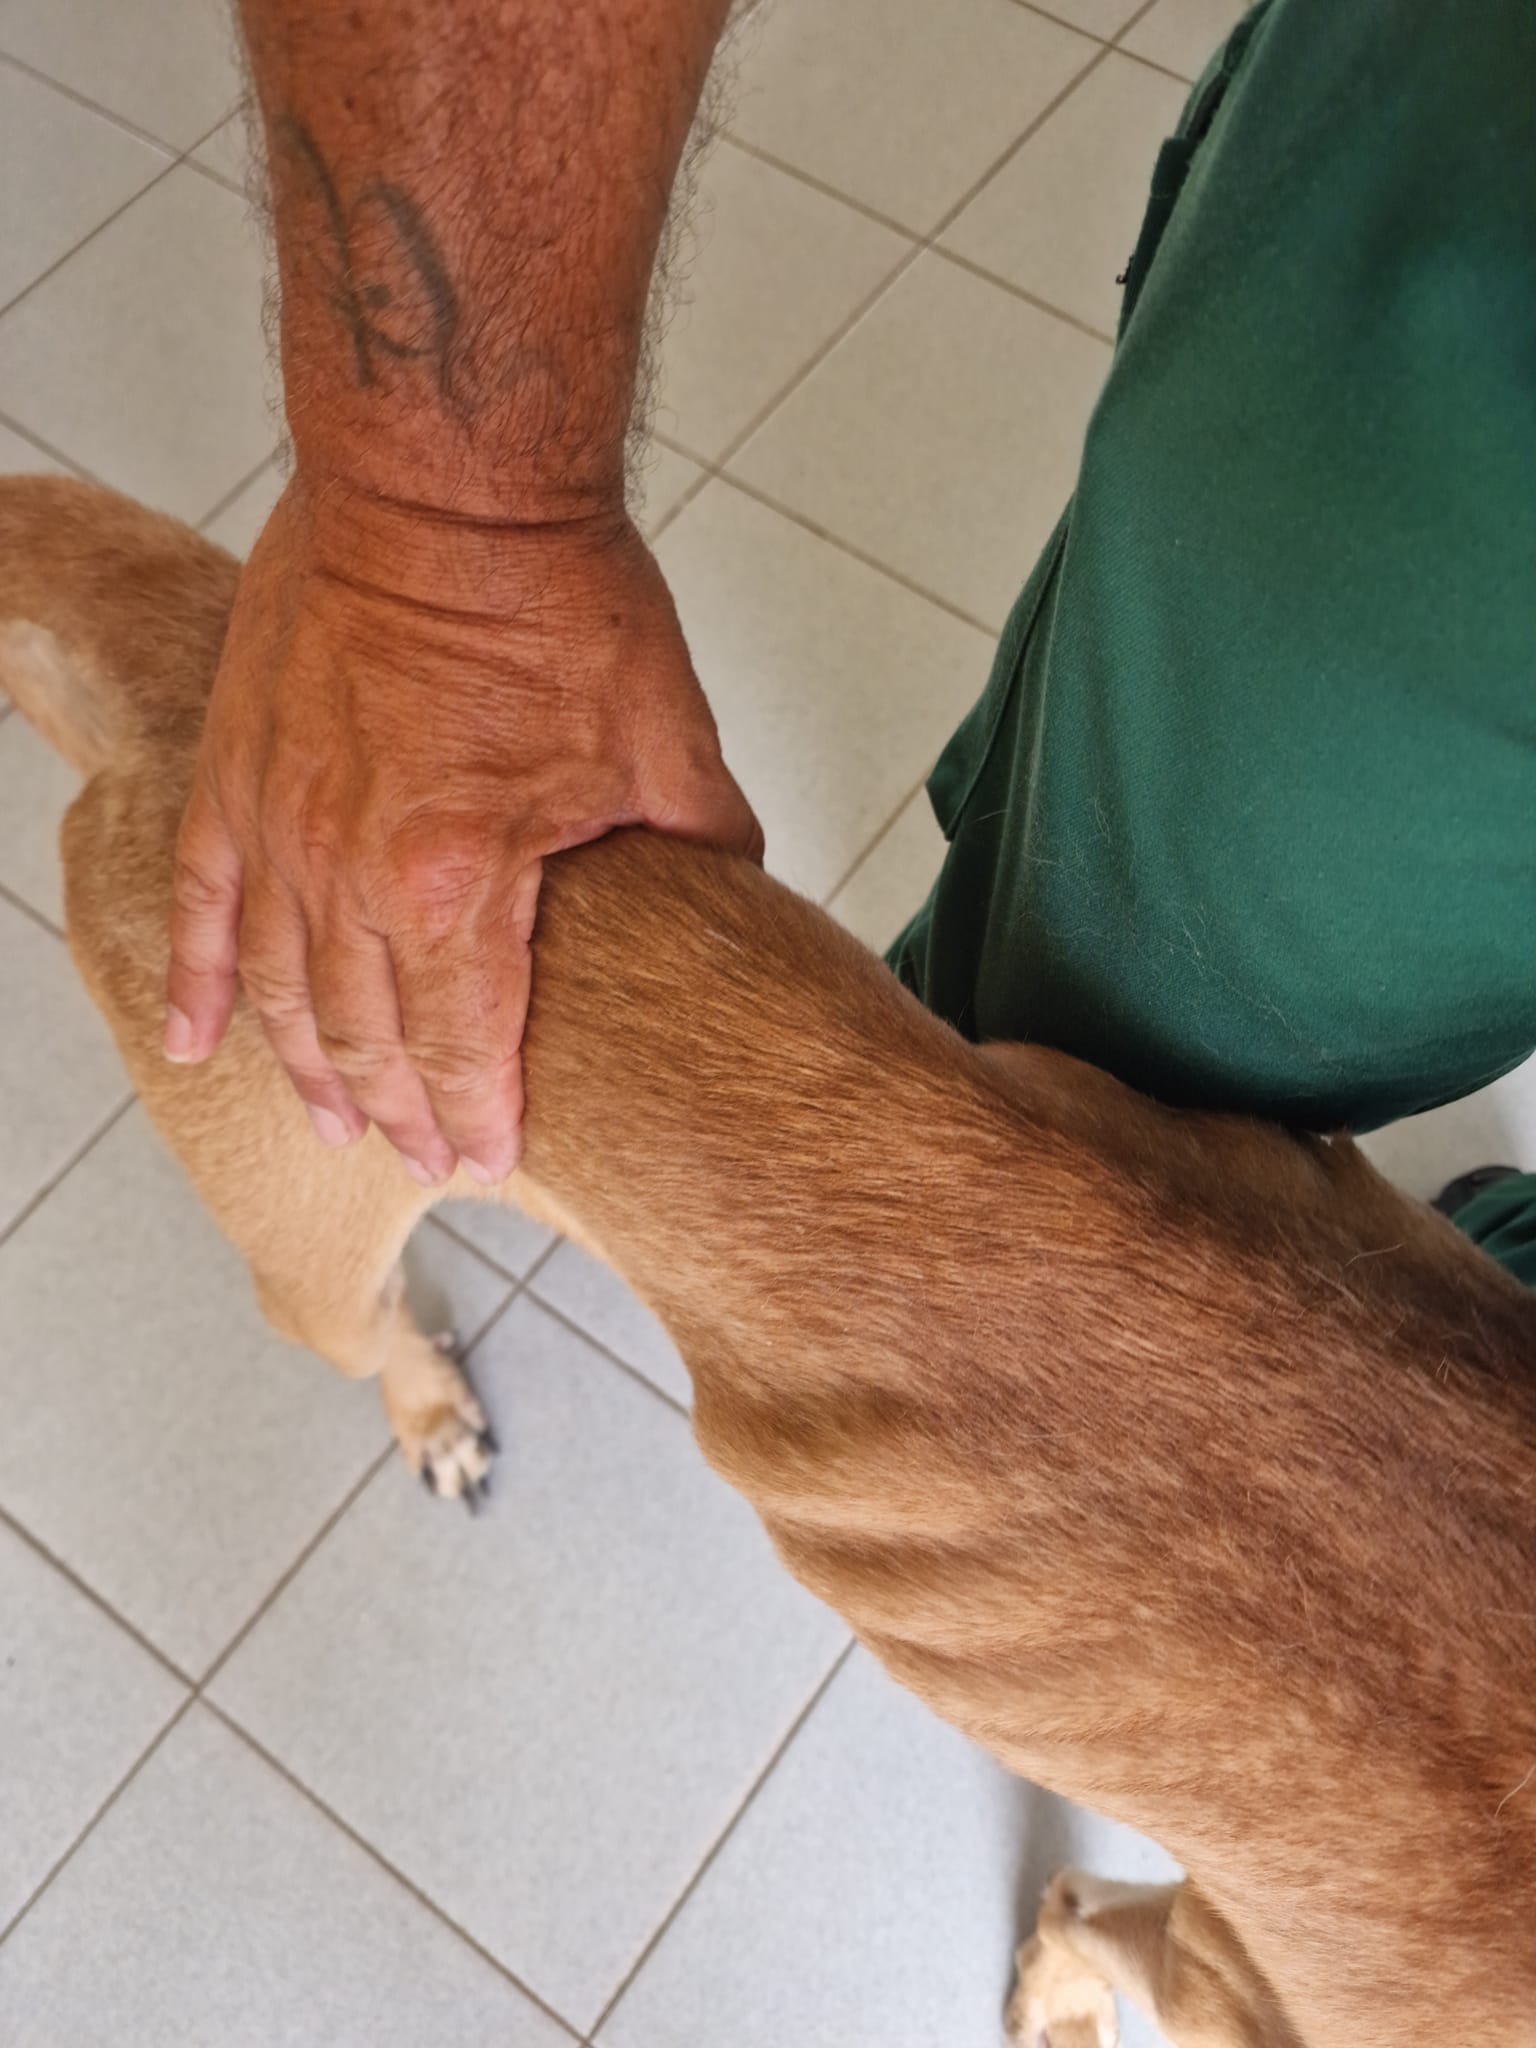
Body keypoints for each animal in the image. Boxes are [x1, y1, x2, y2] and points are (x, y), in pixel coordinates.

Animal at [3, 479, 1536, 2048]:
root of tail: (225, 657)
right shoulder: (1235, 1976)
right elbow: (1082, 1912)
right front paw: (1057, 2000)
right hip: (307, 1262)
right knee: (367, 1330)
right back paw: (429, 1408)